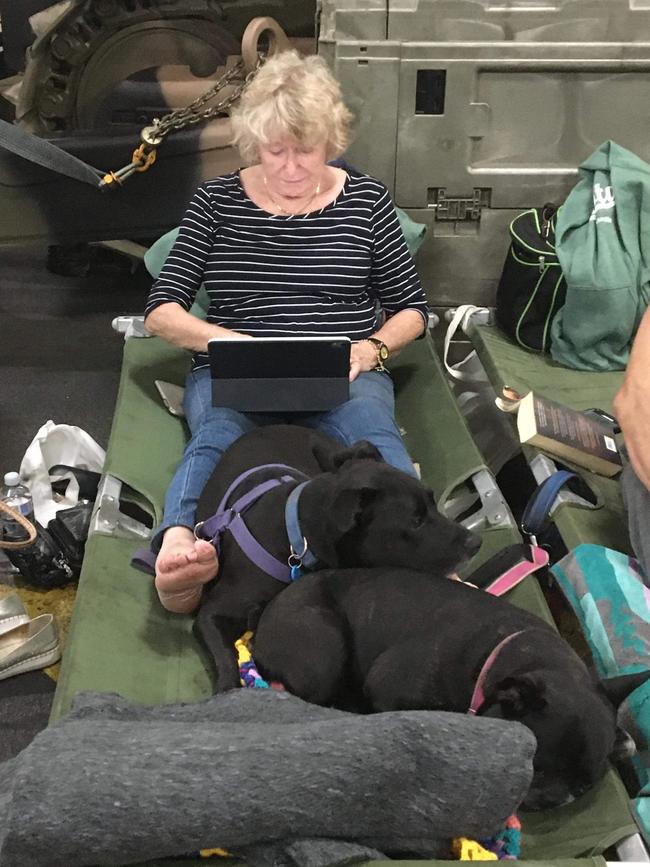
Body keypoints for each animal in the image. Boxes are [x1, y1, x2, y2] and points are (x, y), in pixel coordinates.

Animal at [190, 428, 478, 692]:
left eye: (432, 501)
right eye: (416, 521)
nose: (475, 542)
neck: (296, 539)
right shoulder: (210, 613)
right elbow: (225, 655)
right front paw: (228, 686)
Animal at [249, 568, 648, 812]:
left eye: (582, 789)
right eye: (533, 764)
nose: (551, 799)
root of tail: (262, 624)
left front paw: (623, 740)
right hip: (326, 645)